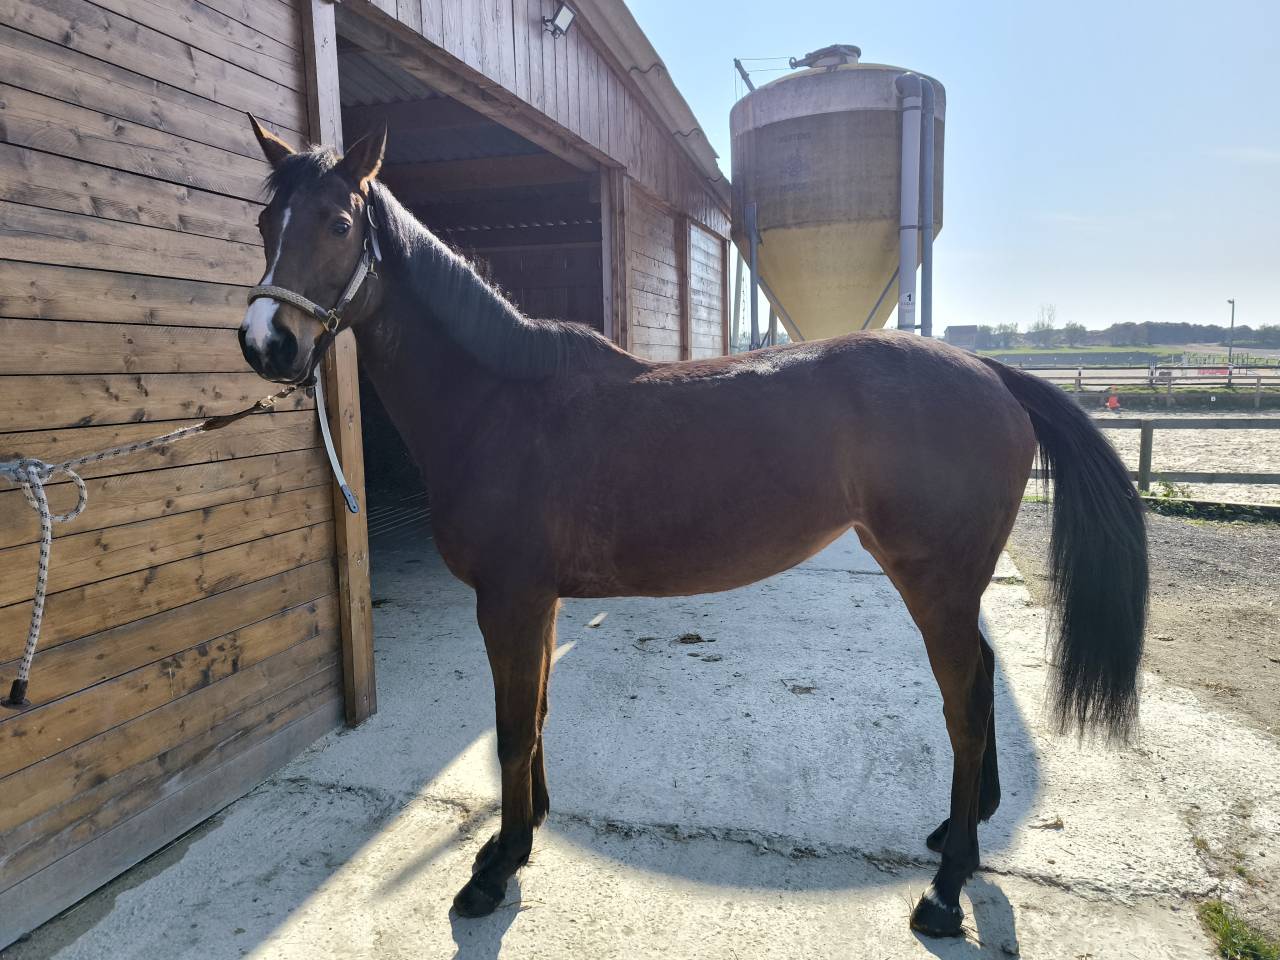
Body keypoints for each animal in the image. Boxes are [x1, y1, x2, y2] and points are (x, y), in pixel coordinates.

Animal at [238, 118, 1148, 937]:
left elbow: (510, 730)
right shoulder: (538, 601)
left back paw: (946, 889)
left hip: (935, 582)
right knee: (983, 683)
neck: (502, 400)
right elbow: (535, 714)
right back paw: (963, 834)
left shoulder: (509, 600)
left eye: (339, 223)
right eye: (263, 222)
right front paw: (525, 833)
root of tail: (992, 373)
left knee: (963, 704)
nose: (265, 343)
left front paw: (495, 869)